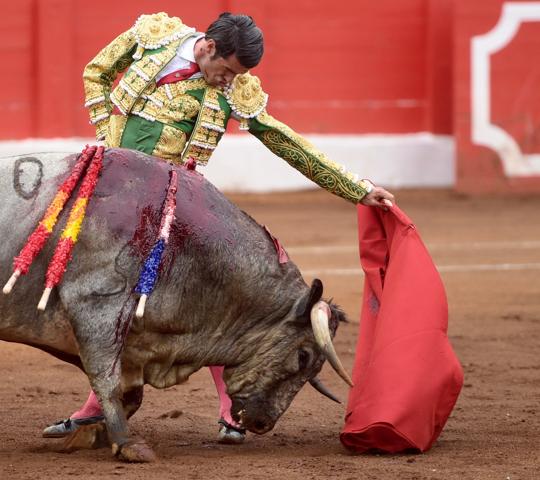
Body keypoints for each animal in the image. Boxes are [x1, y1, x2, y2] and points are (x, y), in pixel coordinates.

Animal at [0, 149, 350, 462]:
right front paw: (128, 445)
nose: (263, 422)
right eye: (303, 357)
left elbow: (131, 392)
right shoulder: (96, 304)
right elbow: (108, 381)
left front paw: (92, 434)